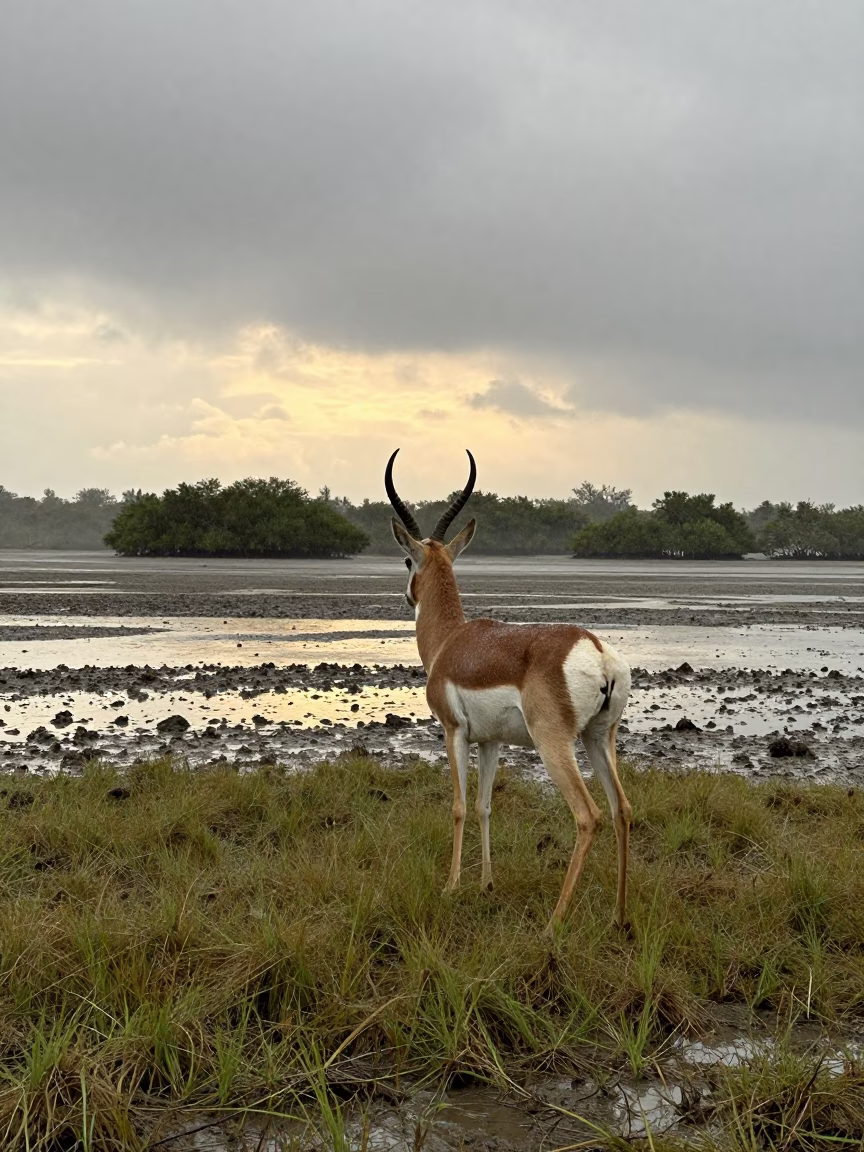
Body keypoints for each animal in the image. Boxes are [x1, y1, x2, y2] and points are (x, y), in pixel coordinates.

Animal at [386, 449, 633, 932]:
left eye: (407, 561)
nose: (406, 596)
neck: (451, 641)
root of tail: (595, 650)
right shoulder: (491, 741)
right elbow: (485, 805)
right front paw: (486, 884)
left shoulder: (454, 732)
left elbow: (460, 806)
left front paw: (451, 887)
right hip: (599, 738)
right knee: (622, 809)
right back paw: (618, 916)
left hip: (554, 743)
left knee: (588, 816)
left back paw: (554, 923)